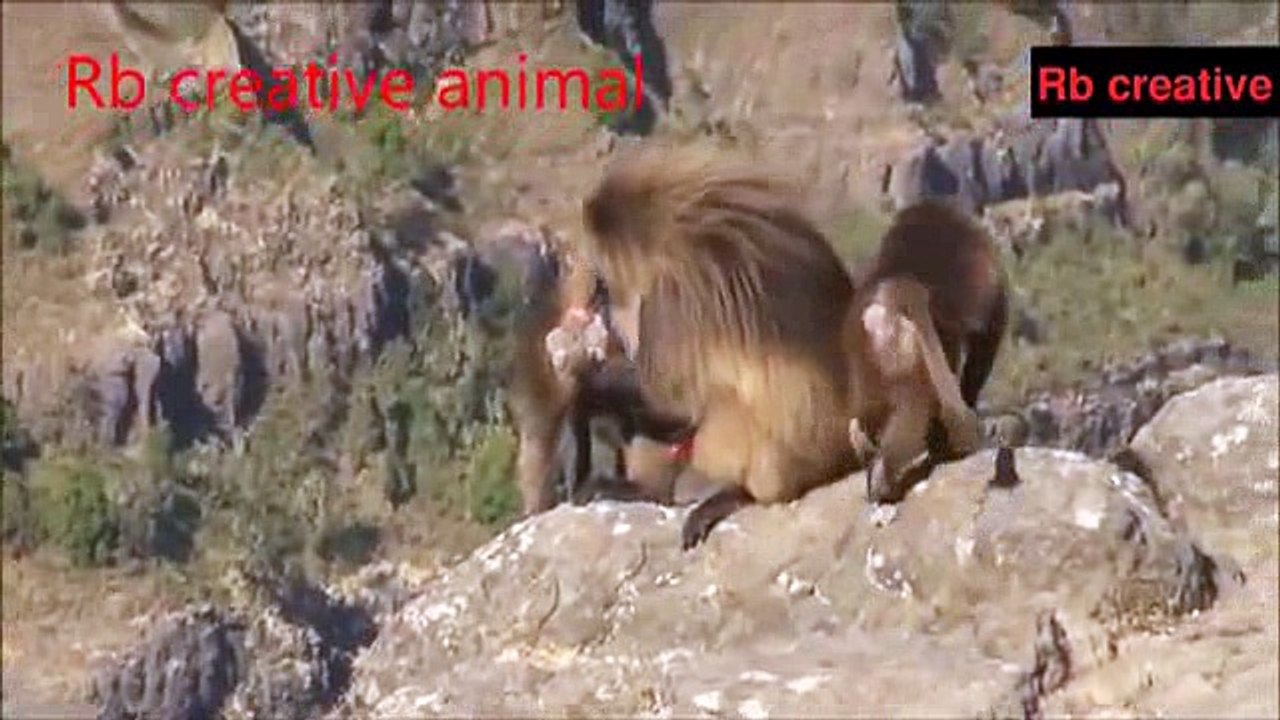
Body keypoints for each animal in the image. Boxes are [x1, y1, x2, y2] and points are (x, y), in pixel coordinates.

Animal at [578, 143, 864, 550]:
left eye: (602, 279)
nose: (597, 302)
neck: (678, 231)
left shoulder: (670, 299)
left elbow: (671, 404)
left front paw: (589, 388)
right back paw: (647, 491)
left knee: (718, 402)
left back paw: (731, 494)